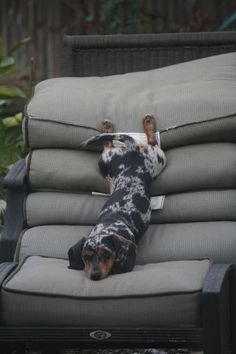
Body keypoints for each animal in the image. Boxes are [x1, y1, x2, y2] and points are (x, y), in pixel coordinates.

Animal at [68, 115, 166, 280]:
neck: (110, 225)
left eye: (106, 254)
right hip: (112, 160)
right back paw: (111, 127)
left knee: (149, 140)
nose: (95, 276)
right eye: (86, 256)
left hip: (156, 159)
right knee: (110, 142)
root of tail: (133, 151)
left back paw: (145, 122)